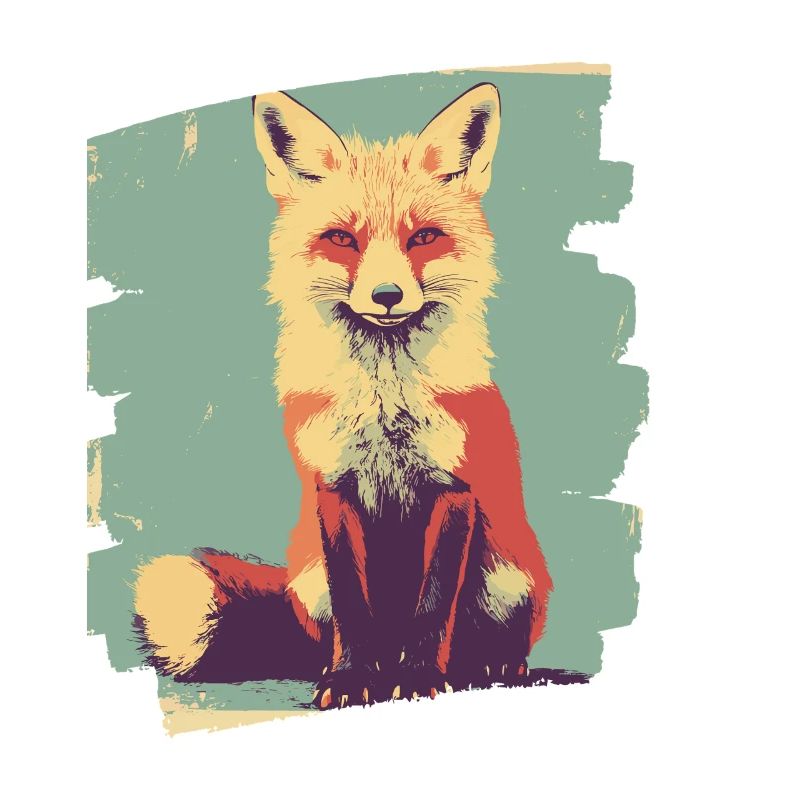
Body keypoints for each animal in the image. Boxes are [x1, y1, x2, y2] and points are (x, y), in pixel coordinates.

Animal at [133, 83, 557, 710]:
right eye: (341, 239)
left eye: (422, 237)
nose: (386, 295)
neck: (385, 405)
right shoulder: (331, 486)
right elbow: (352, 603)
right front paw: (350, 679)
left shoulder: (455, 488)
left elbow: (434, 605)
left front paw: (421, 678)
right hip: (308, 581)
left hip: (510, 575)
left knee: (484, 635)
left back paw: (488, 665)